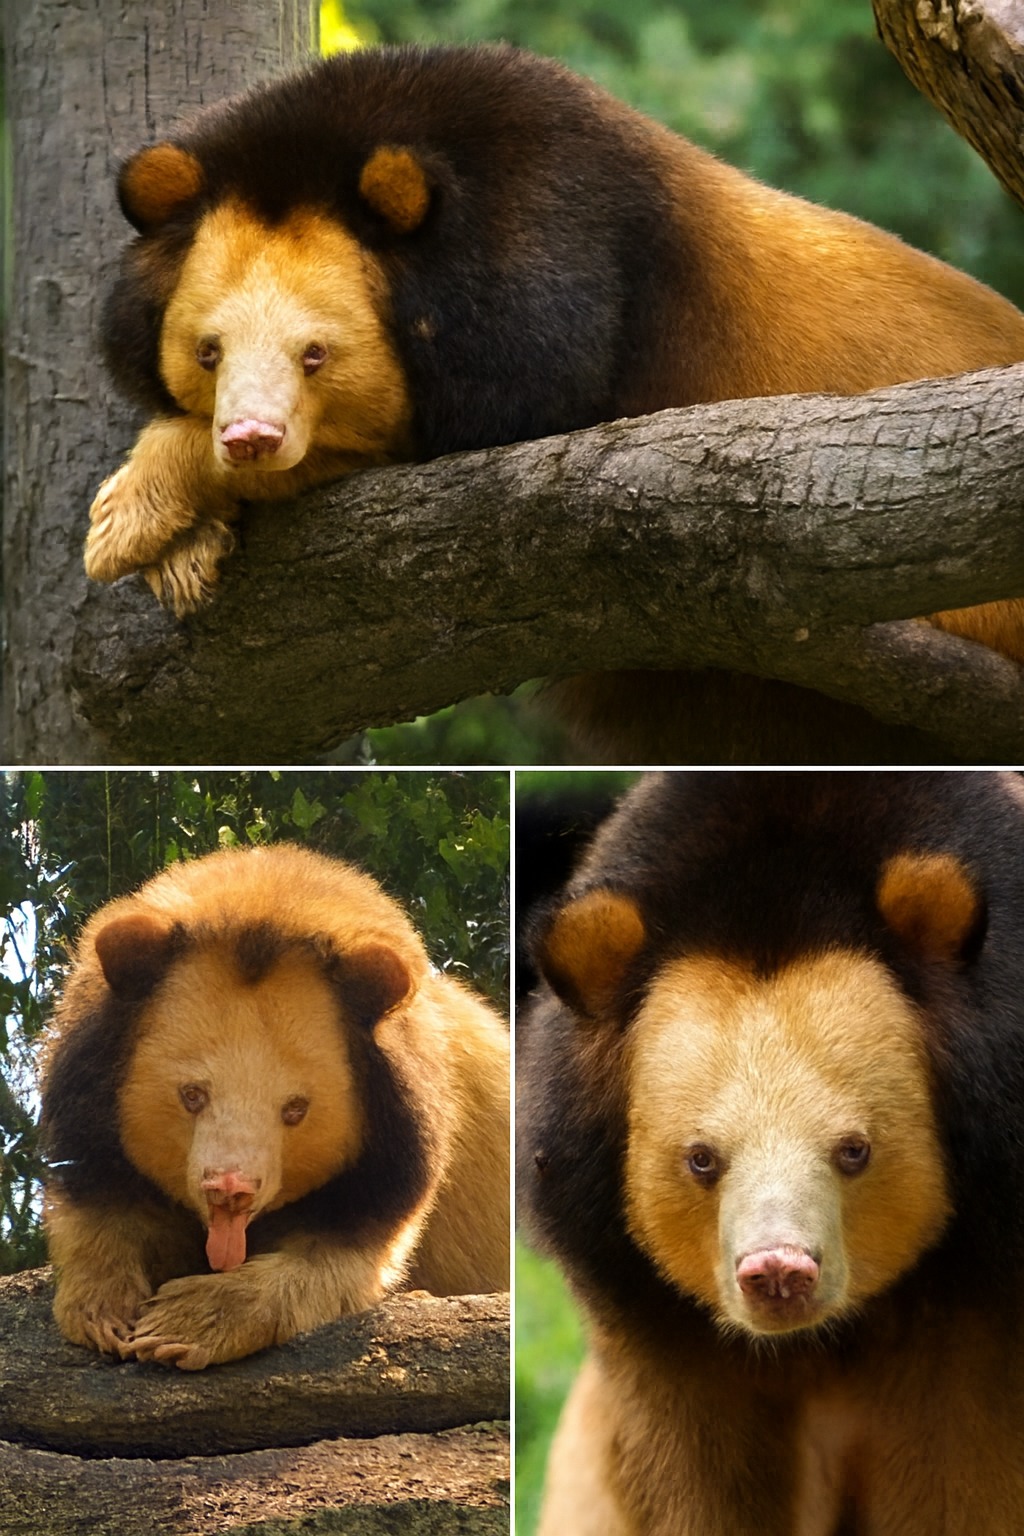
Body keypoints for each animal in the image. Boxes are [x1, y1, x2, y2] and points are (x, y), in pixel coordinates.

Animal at [41, 841, 509, 1370]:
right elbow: (95, 1197)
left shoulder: (397, 1142)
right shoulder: (91, 1087)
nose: (229, 1192)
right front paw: (104, 1313)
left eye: (295, 1109)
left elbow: (344, 1258)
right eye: (192, 1095)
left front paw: (183, 1322)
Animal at [86, 44, 1024, 761]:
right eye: (207, 350)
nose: (248, 438)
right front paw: (182, 553)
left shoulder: (554, 267)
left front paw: (131, 517)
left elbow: (495, 429)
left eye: (317, 354)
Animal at [517, 770, 1024, 1534]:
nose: (778, 1273)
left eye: (854, 1150)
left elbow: (965, 1476)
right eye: (701, 1157)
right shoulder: (652, 1317)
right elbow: (701, 1481)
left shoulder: (985, 1281)